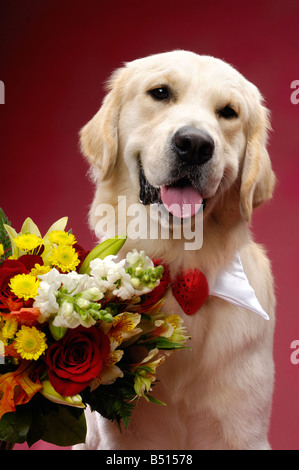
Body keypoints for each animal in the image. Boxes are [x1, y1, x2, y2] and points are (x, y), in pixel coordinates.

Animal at [75, 49, 276, 450]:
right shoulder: (122, 438)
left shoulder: (244, 430)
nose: (195, 145)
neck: (180, 254)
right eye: (160, 92)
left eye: (229, 112)